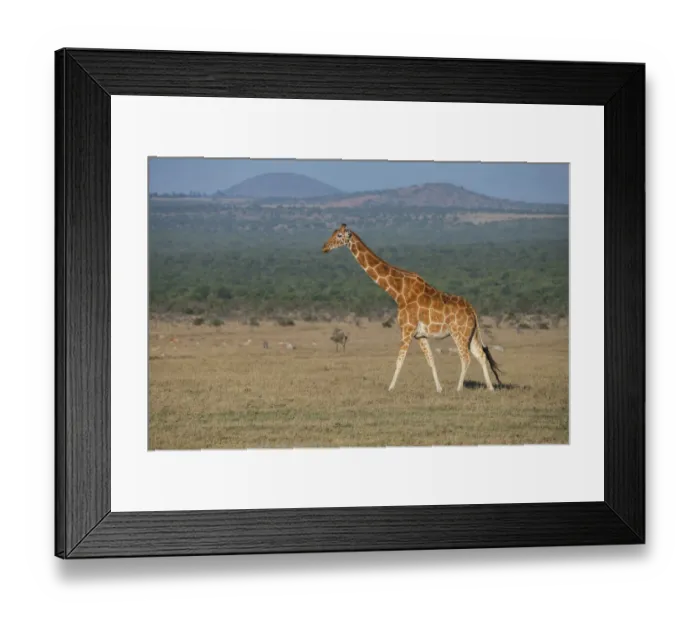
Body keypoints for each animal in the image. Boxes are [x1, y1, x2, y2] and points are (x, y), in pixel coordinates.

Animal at [322, 224, 502, 393]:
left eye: (339, 235)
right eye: (333, 232)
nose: (324, 247)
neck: (398, 292)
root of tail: (473, 311)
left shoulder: (406, 329)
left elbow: (399, 360)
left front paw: (390, 388)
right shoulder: (420, 335)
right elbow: (430, 360)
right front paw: (439, 388)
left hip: (459, 333)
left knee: (466, 357)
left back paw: (458, 389)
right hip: (471, 334)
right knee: (481, 354)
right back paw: (490, 388)